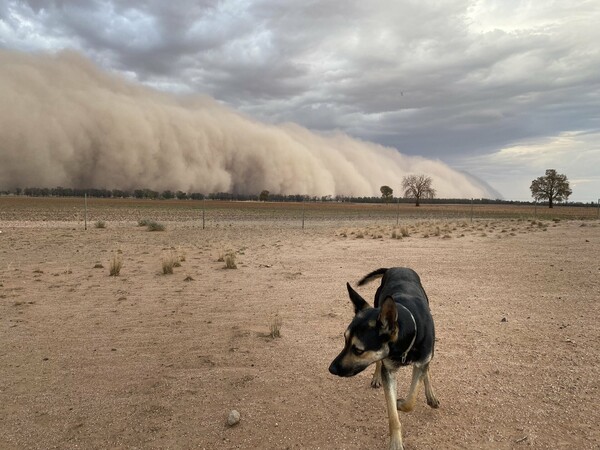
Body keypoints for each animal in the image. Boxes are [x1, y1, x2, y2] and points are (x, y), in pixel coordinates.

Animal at [328, 268, 440, 450]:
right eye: (344, 340)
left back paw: (430, 395)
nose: (331, 368)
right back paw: (376, 377)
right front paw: (395, 442)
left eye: (358, 350)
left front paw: (401, 403)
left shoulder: (422, 358)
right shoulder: (389, 371)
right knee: (379, 363)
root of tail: (395, 267)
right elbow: (393, 415)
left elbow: (411, 399)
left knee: (425, 368)